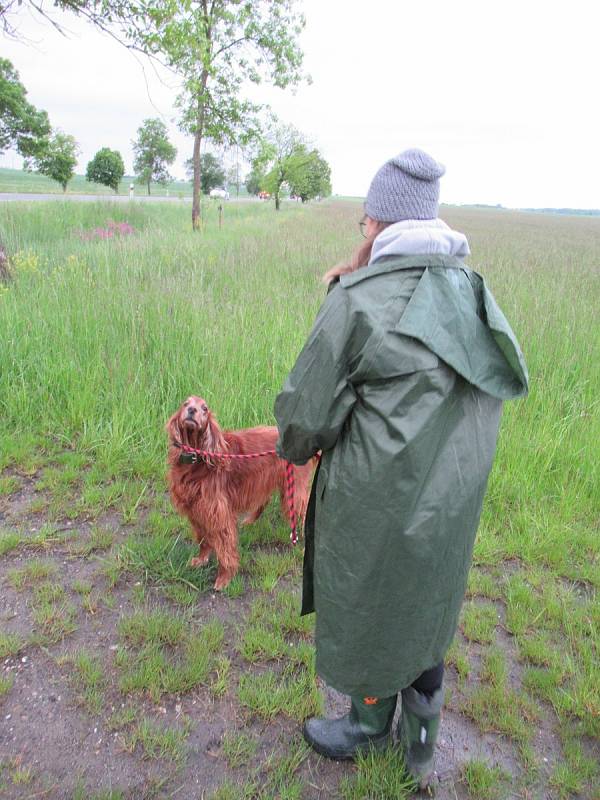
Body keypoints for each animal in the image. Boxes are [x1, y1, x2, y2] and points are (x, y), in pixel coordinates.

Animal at [164, 396, 314, 592]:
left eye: (204, 408)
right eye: (185, 404)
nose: (191, 410)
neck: (197, 458)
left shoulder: (219, 514)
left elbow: (225, 550)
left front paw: (225, 577)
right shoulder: (196, 511)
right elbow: (203, 539)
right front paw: (202, 559)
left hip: (295, 490)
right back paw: (250, 520)